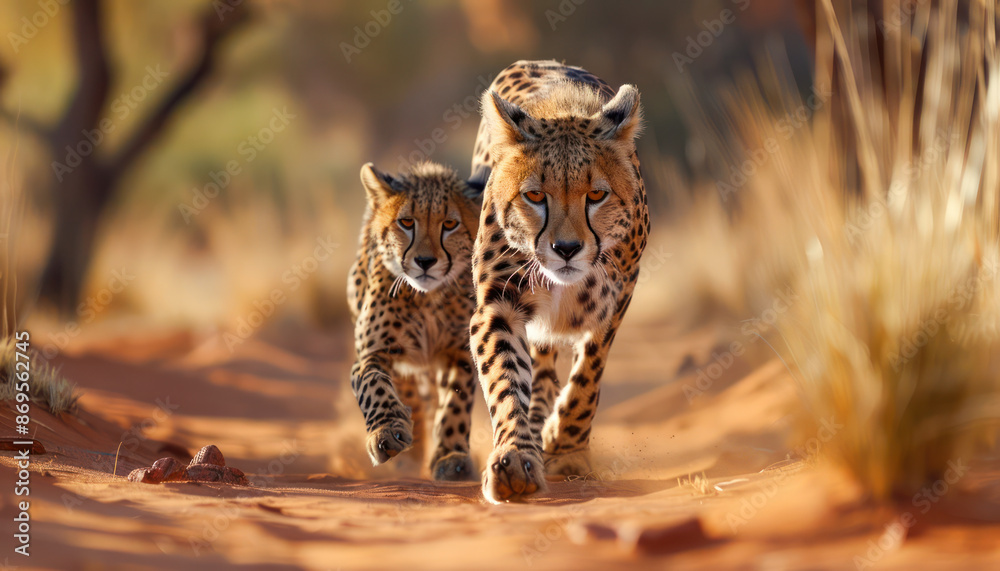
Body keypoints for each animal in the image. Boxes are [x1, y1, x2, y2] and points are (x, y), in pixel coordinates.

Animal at [347, 161, 483, 481]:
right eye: (407, 223)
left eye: (450, 224)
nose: (425, 262)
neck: (427, 298)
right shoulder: (375, 352)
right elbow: (372, 383)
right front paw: (386, 433)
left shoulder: (458, 353)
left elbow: (455, 403)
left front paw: (451, 458)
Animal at [467, 60, 649, 503]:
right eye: (535, 196)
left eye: (597, 195)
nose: (566, 248)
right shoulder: (499, 306)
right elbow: (506, 381)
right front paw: (515, 458)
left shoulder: (614, 302)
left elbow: (588, 375)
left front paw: (567, 450)